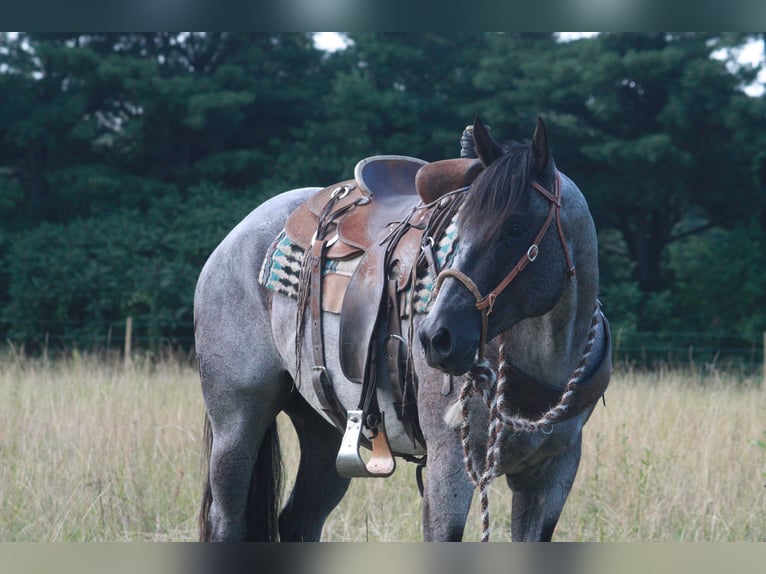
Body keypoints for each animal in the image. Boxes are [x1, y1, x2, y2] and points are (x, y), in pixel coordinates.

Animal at [196, 118, 612, 544]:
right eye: (461, 226)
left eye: (514, 227)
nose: (436, 337)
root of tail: (236, 235)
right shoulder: (450, 467)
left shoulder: (551, 475)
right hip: (237, 422)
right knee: (226, 521)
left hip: (324, 433)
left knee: (299, 520)